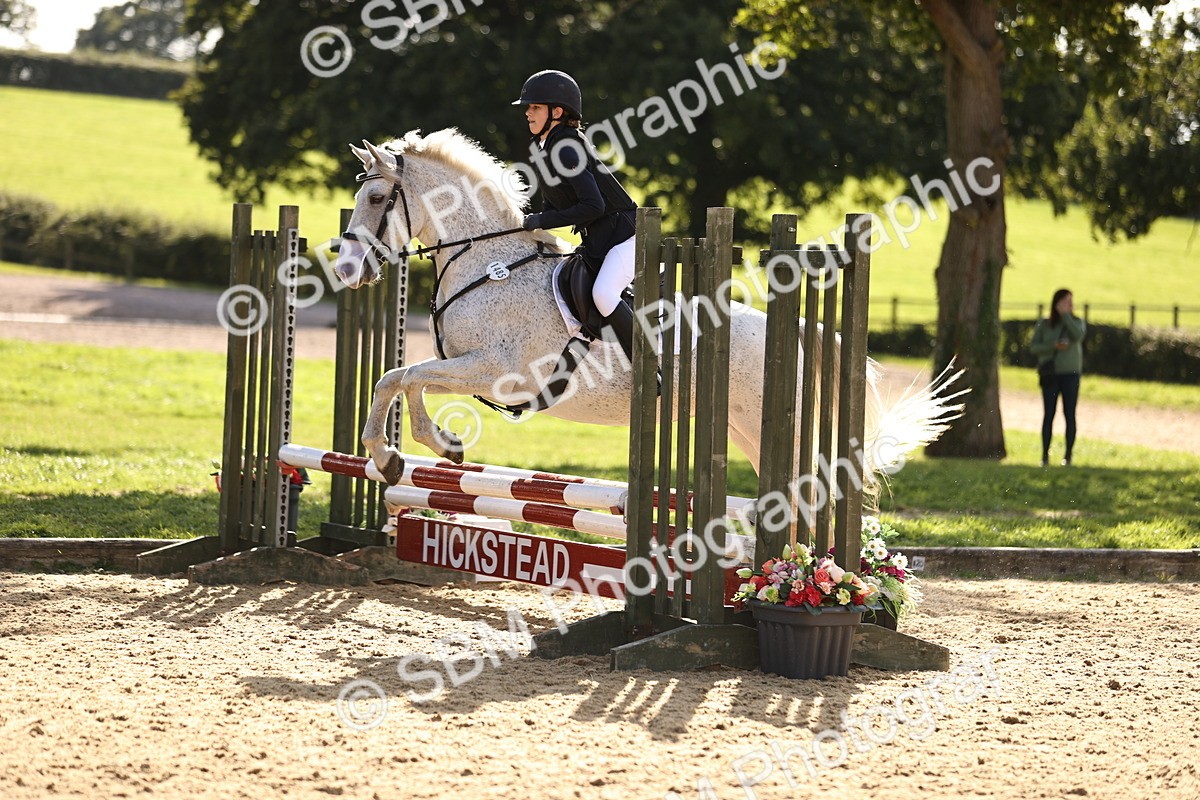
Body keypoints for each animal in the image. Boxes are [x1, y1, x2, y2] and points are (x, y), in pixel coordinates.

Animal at [333, 128, 960, 491]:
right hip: (748, 431)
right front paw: (428, 447)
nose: (345, 270)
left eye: (375, 197)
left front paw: (391, 453)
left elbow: (399, 375)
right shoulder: (469, 368)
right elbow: (405, 378)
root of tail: (806, 332)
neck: (489, 263)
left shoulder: (497, 370)